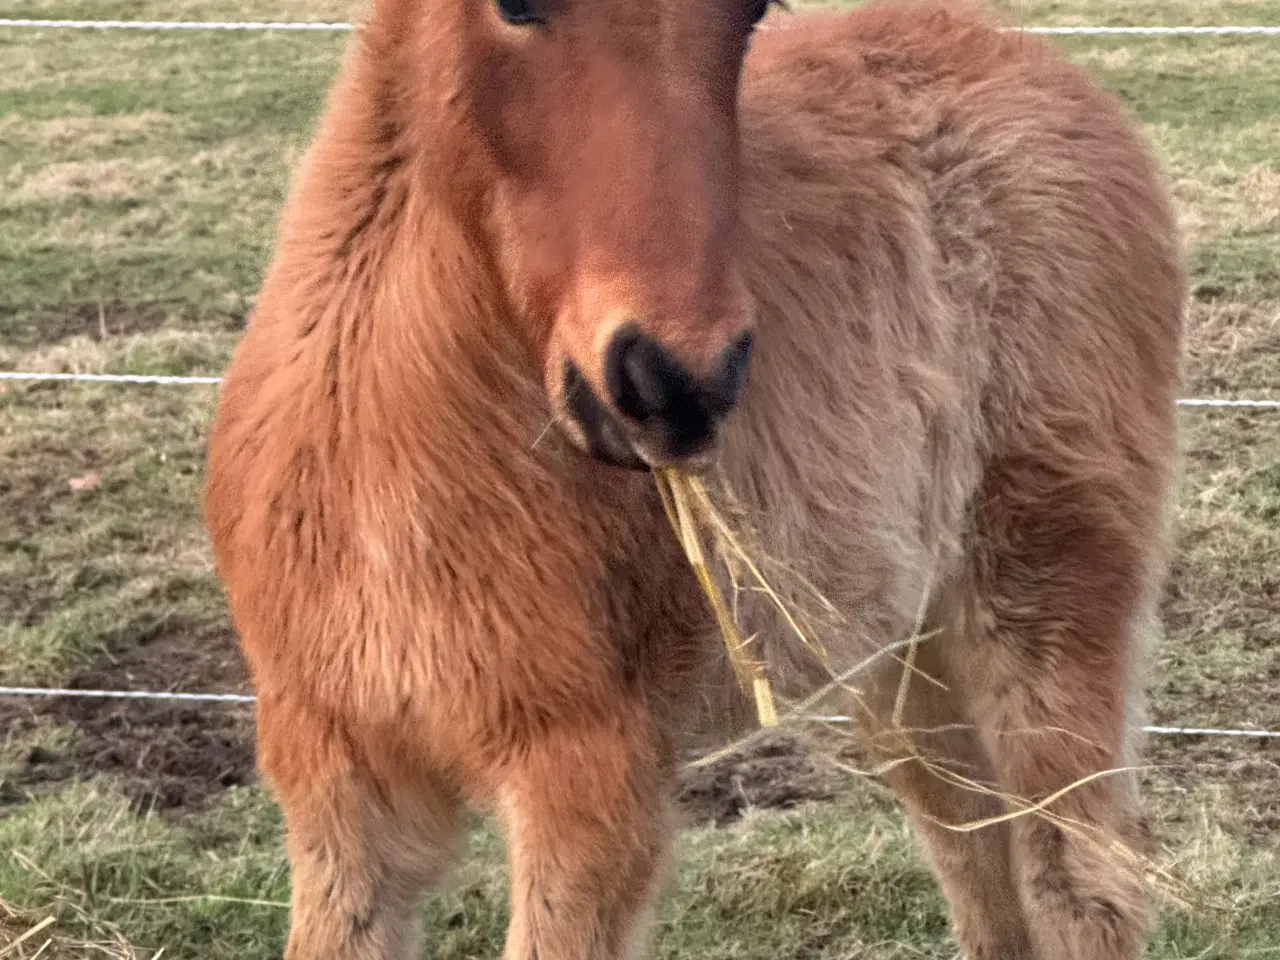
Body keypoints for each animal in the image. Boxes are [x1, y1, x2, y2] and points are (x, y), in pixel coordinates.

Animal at [204, 0, 1182, 957]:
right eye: (516, 4)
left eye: (751, 13)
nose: (677, 382)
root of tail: (1029, 61)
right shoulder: (339, 788)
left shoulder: (588, 784)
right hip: (903, 643)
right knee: (977, 852)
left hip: (1044, 586)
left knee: (1079, 879)